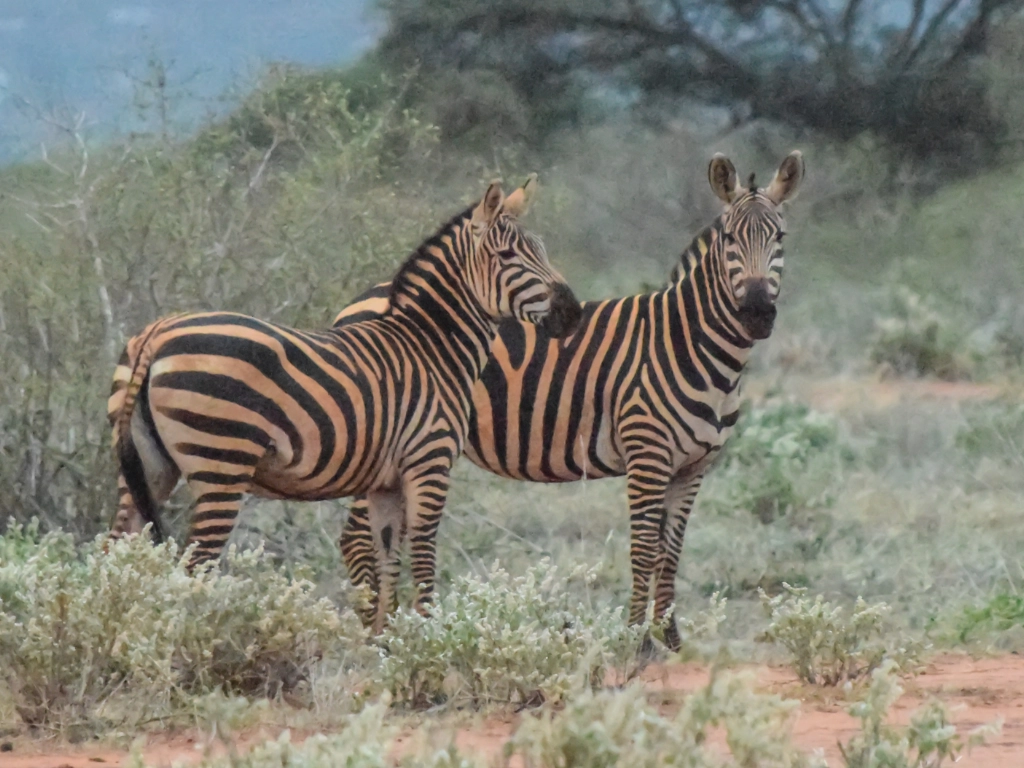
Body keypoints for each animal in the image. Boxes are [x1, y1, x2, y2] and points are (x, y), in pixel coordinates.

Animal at [107, 176, 582, 633]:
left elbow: (387, 564)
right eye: (507, 255)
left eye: (542, 250)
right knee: (192, 567)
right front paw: (428, 641)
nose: (573, 314)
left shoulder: (385, 483)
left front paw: (383, 642)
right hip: (220, 464)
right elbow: (423, 559)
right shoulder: (430, 461)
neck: (432, 347)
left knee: (118, 552)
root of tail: (158, 333)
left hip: (148, 468)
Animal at [335, 152, 805, 649]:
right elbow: (644, 550)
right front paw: (638, 642)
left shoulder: (694, 467)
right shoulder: (647, 455)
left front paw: (672, 641)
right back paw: (378, 635)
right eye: (731, 239)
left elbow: (671, 552)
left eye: (780, 237)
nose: (756, 313)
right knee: (357, 539)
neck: (692, 346)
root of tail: (360, 299)